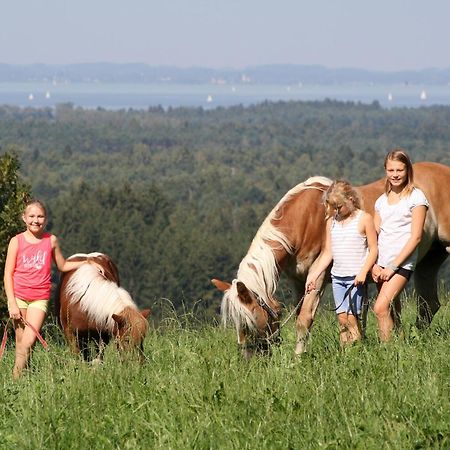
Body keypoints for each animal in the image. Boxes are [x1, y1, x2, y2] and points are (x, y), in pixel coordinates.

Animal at [212, 163, 450, 358]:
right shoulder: (299, 282)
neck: (306, 219)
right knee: (428, 305)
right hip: (429, 260)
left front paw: (297, 360)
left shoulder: (317, 277)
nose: (248, 359)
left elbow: (304, 320)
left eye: (249, 322)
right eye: (235, 323)